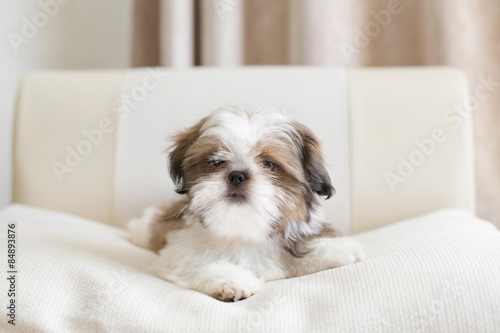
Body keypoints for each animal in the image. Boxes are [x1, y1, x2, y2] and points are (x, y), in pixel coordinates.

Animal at [128, 106, 364, 300]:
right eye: (217, 161)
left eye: (269, 164)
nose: (237, 175)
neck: (243, 230)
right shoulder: (178, 253)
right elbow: (198, 262)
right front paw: (231, 280)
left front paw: (335, 249)